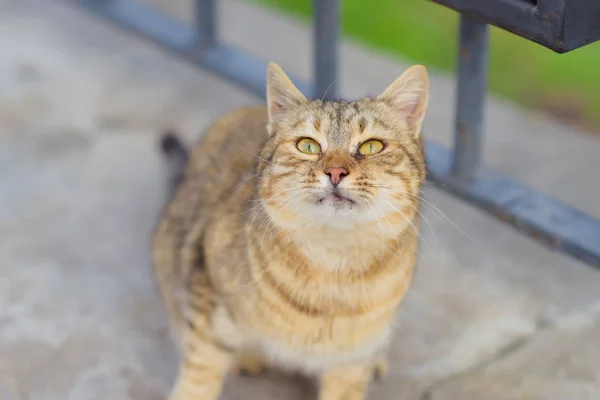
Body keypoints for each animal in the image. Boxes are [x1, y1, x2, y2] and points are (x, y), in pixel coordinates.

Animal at [152, 62, 428, 400]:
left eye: (371, 146)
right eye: (308, 145)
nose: (335, 172)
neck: (332, 265)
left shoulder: (352, 358)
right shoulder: (206, 295)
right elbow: (200, 370)